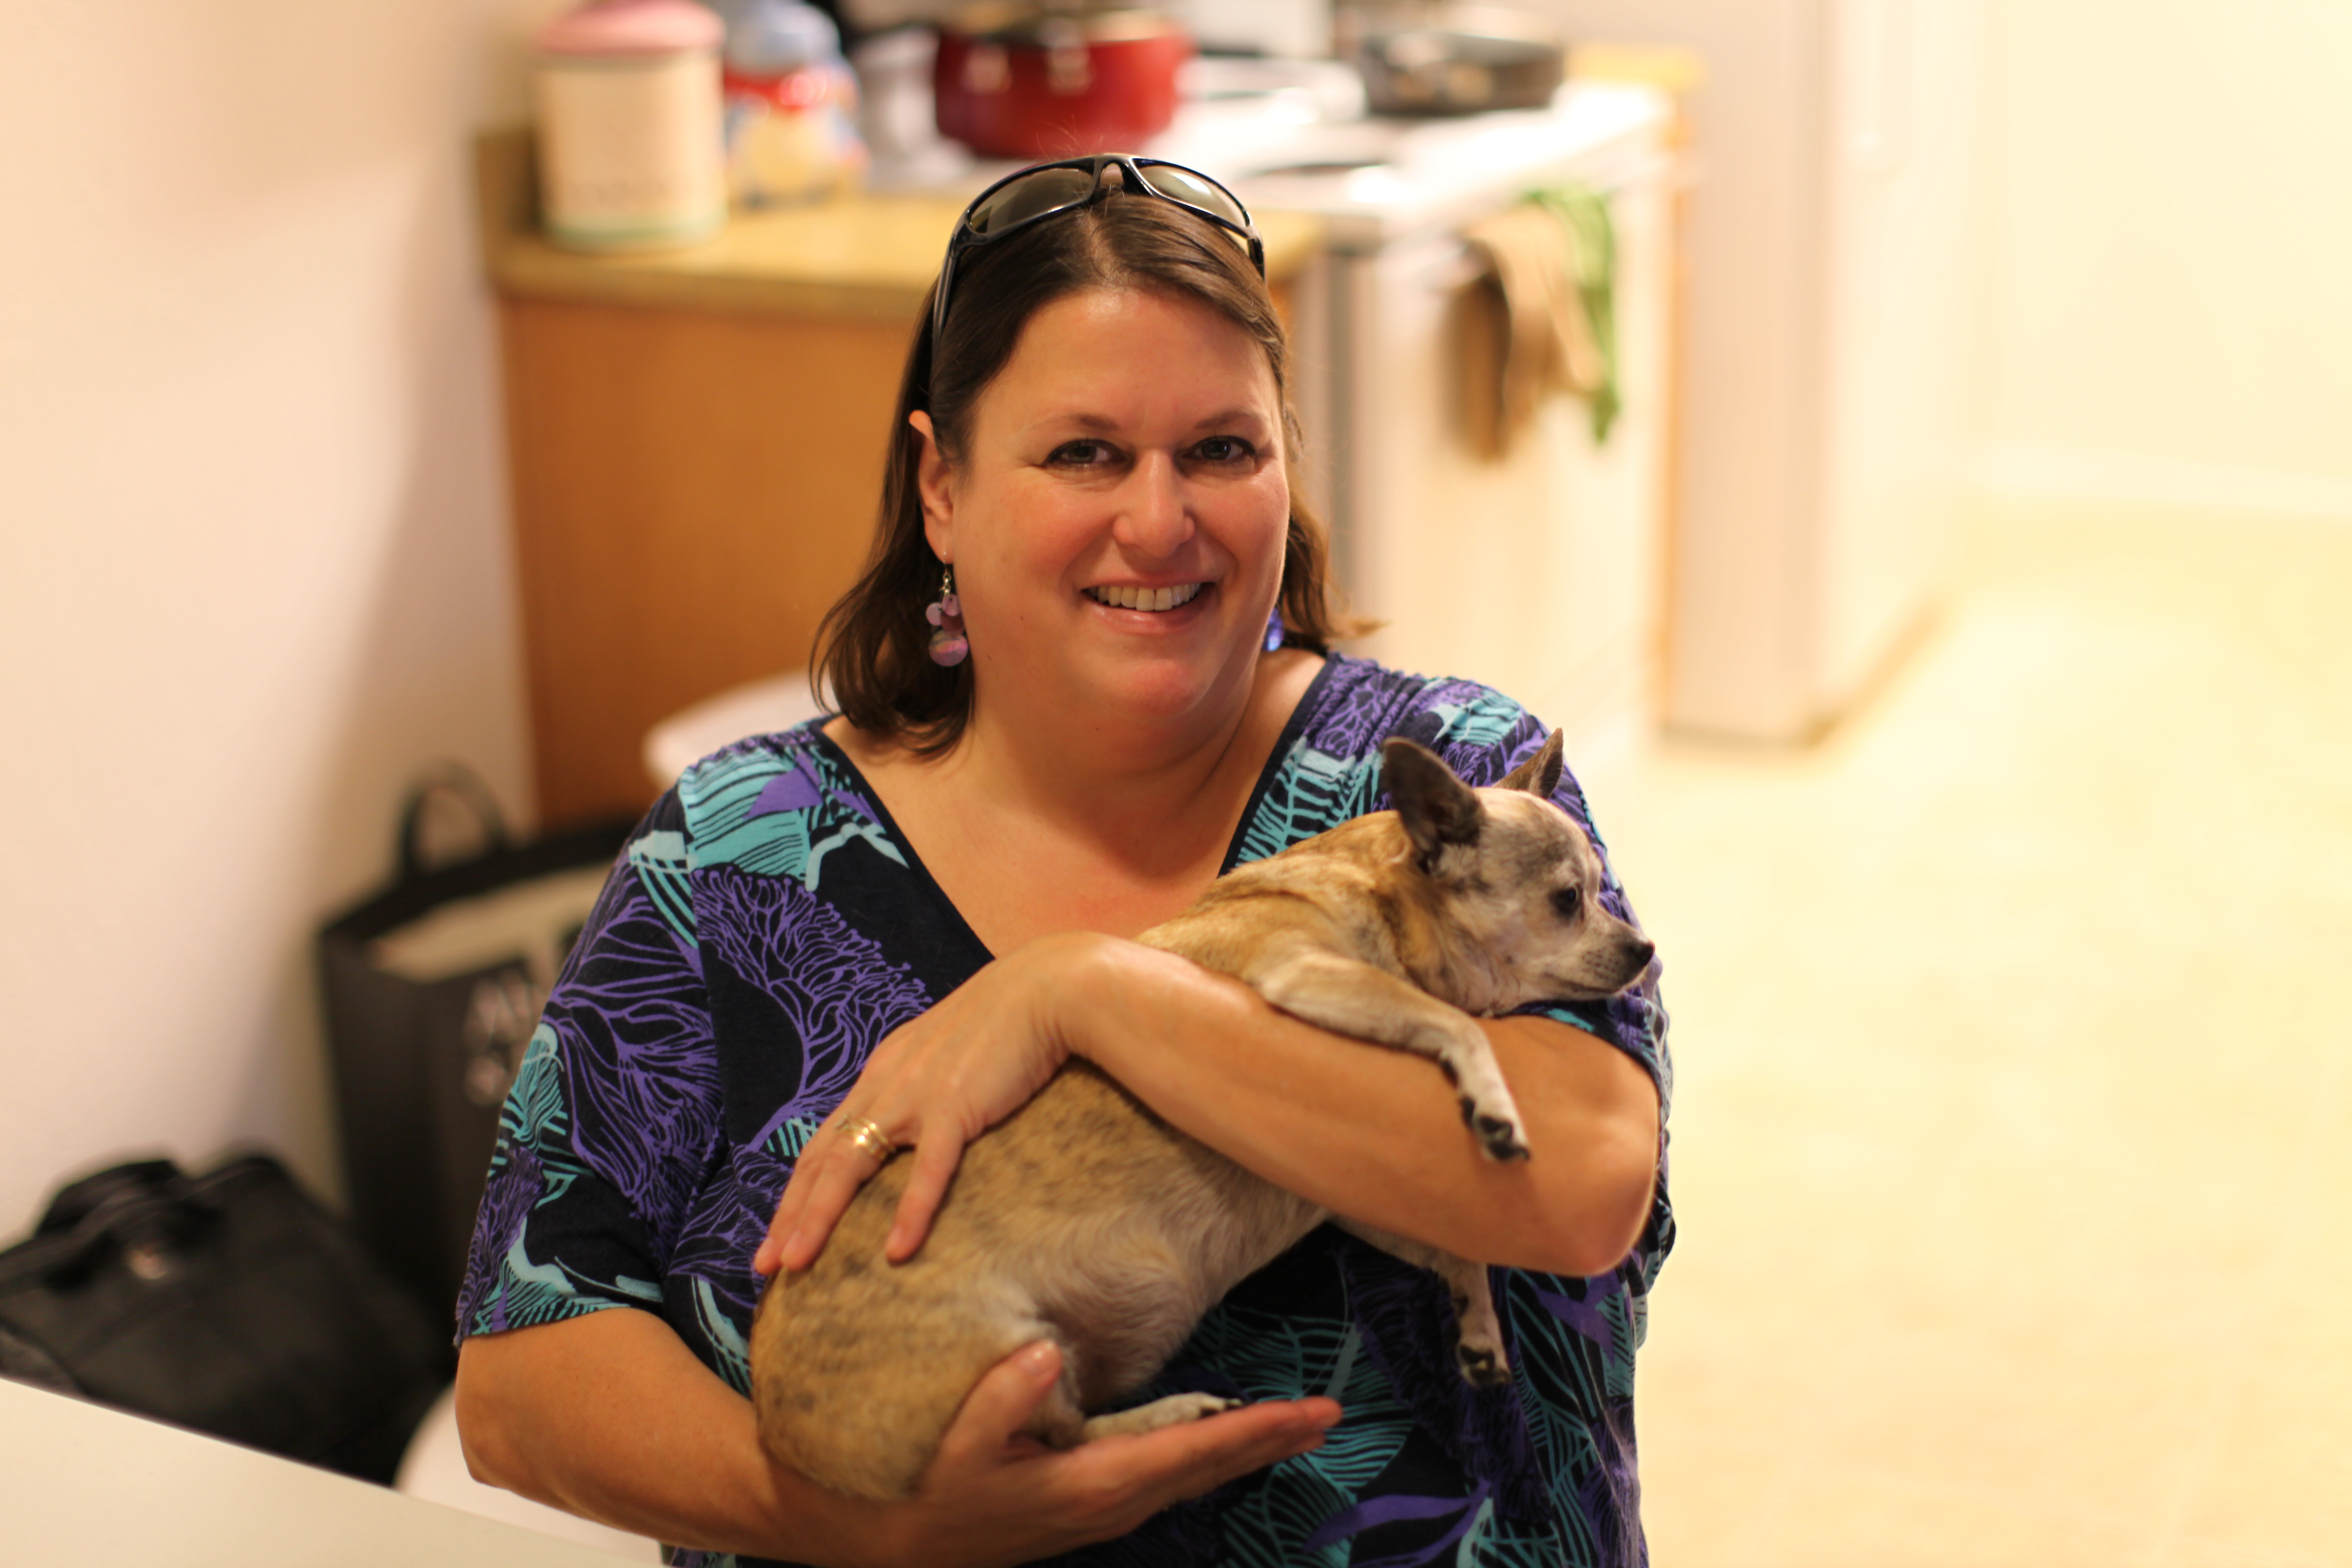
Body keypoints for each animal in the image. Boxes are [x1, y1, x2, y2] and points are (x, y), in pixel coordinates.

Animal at [753, 729, 1656, 1504]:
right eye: (1569, 901)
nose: (1645, 949)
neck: (1391, 899)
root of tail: (783, 1438)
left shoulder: (1353, 1199)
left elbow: (1453, 1249)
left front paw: (1477, 1325)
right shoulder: (1305, 975)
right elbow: (1458, 1026)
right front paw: (1492, 1100)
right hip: (1017, 1355)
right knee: (1064, 1439)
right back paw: (1171, 1414)